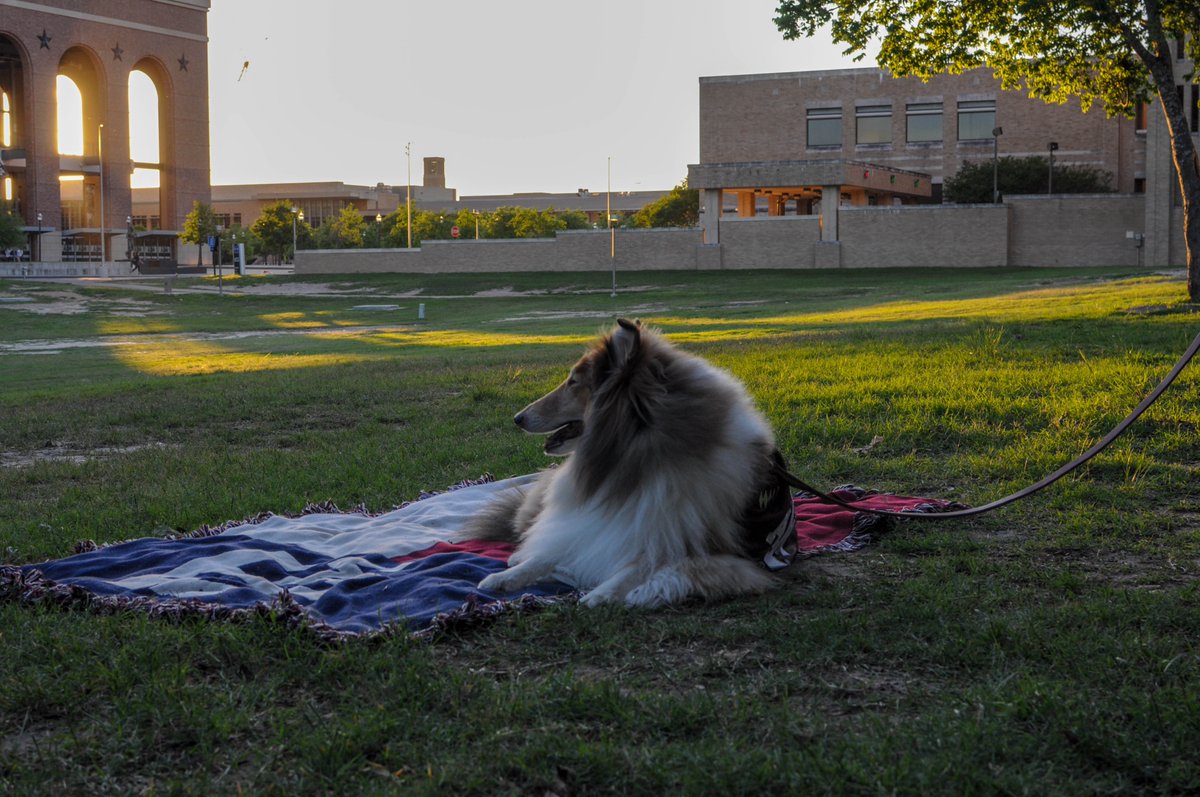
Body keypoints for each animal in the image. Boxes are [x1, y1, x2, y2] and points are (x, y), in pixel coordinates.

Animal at [468, 321, 796, 607]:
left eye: (573, 382)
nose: (517, 418)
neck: (631, 457)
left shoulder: (706, 546)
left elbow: (643, 566)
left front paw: (602, 594)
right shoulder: (602, 518)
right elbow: (558, 547)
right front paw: (503, 577)